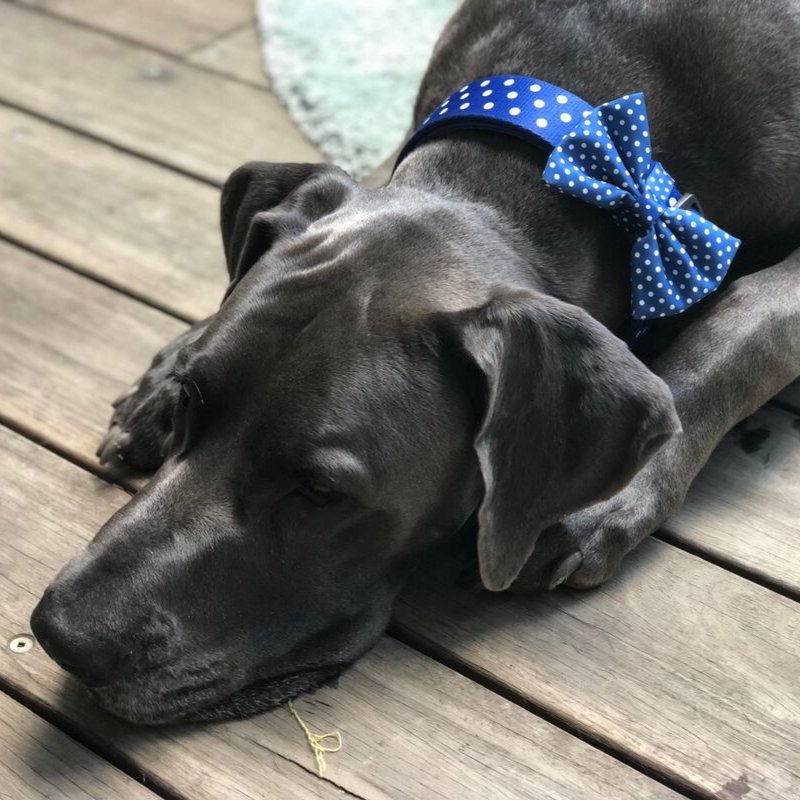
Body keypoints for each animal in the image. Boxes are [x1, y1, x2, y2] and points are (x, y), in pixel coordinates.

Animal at [28, 0, 800, 724]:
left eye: (321, 492)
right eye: (194, 400)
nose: (61, 633)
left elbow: (747, 319)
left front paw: (617, 495)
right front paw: (162, 378)